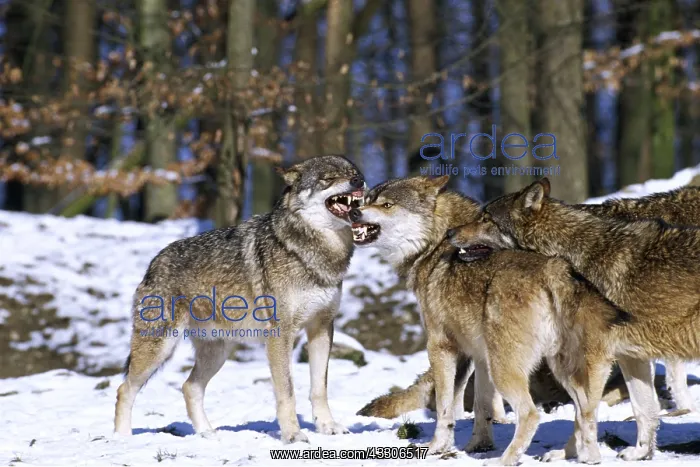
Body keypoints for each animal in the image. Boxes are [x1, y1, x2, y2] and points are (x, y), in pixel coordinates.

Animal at [114, 155, 365, 444]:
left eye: (354, 172)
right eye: (329, 178)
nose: (359, 180)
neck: (314, 254)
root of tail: (154, 262)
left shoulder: (322, 328)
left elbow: (319, 389)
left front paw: (327, 426)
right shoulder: (280, 335)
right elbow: (287, 392)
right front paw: (292, 435)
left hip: (218, 352)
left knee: (189, 387)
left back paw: (208, 434)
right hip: (159, 349)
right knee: (124, 389)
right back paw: (122, 439)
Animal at [348, 176, 638, 465]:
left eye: (386, 204)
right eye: (367, 200)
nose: (353, 212)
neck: (434, 246)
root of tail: (553, 269)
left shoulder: (442, 347)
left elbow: (445, 407)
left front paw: (436, 448)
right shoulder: (479, 354)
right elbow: (481, 407)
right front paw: (478, 446)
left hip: (507, 369)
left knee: (531, 414)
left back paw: (504, 460)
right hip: (558, 368)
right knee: (586, 410)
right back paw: (589, 457)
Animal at [450, 178, 700, 461]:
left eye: (486, 218)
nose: (450, 233)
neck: (572, 257)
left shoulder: (596, 357)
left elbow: (583, 413)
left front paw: (575, 455)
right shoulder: (631, 356)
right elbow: (643, 408)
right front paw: (640, 453)